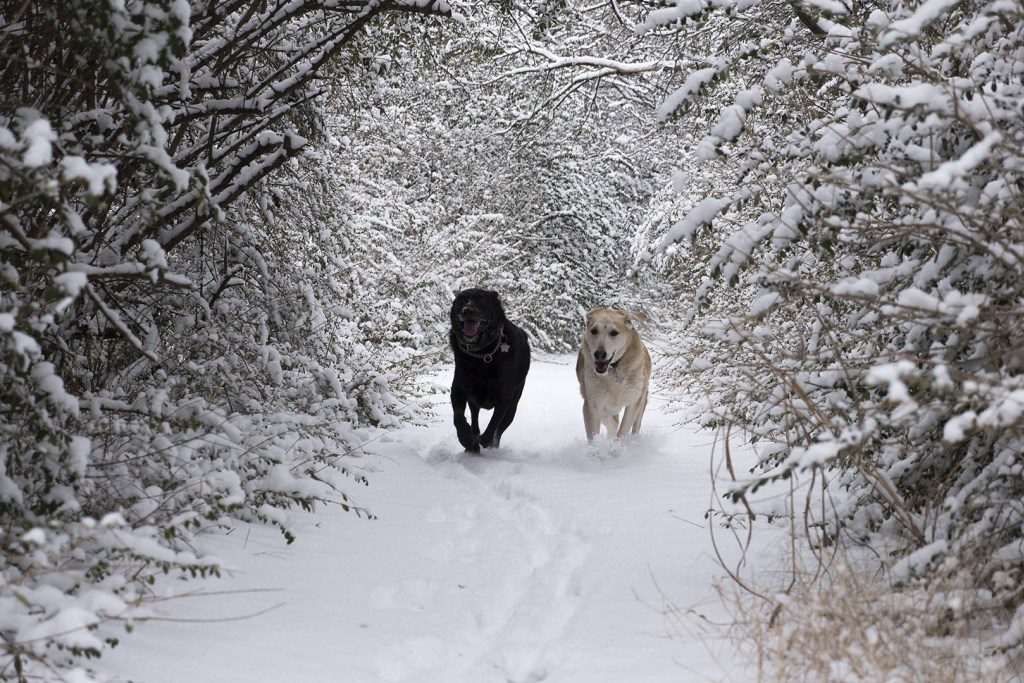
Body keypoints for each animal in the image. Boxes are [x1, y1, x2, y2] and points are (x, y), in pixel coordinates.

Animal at [446, 288, 528, 454]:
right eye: (462, 300)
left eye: (481, 300)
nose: (468, 310)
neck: (483, 354)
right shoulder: (459, 389)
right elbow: (458, 417)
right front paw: (466, 439)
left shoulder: (505, 395)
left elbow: (494, 422)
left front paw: (485, 440)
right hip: (474, 401)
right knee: (474, 419)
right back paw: (473, 444)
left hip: (513, 407)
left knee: (500, 429)